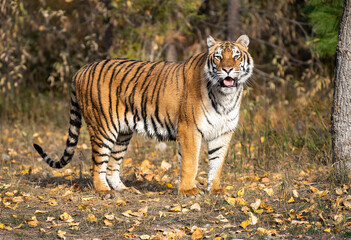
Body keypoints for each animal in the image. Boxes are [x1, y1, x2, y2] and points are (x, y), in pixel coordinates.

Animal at [32, 35, 253, 197]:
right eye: (218, 57)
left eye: (236, 56)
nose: (227, 69)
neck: (225, 97)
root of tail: (81, 69)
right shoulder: (190, 130)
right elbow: (190, 163)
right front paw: (188, 191)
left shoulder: (223, 132)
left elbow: (217, 163)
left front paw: (215, 190)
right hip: (103, 128)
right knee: (97, 165)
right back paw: (104, 191)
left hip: (122, 133)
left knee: (112, 165)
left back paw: (123, 189)